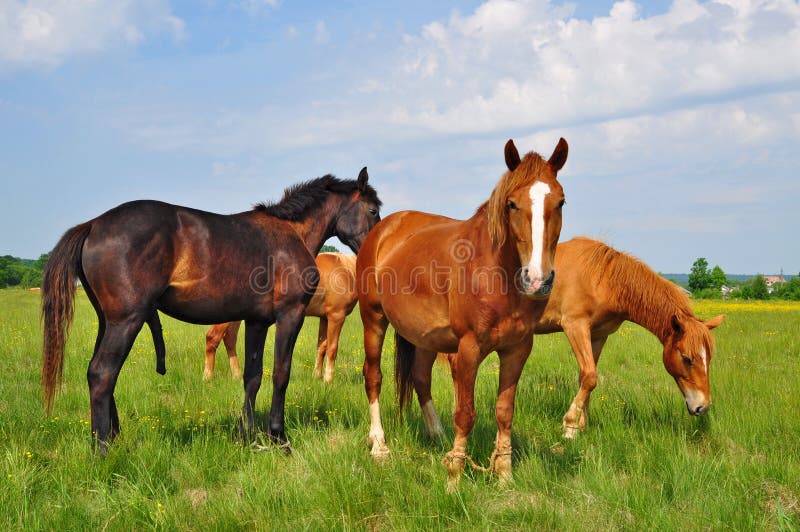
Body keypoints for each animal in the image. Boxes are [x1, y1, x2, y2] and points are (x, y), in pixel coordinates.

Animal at [205, 250, 358, 380]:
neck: (346, 270)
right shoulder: (336, 316)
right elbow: (332, 348)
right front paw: (328, 380)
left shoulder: (325, 318)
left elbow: (322, 347)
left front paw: (317, 376)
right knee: (213, 337)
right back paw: (208, 378)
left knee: (230, 338)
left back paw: (236, 376)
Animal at [416, 237, 728, 440]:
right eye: (686, 358)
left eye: (709, 358)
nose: (702, 407)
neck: (604, 278)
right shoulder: (575, 326)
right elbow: (590, 375)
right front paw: (568, 427)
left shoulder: (598, 335)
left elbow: (587, 377)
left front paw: (582, 425)